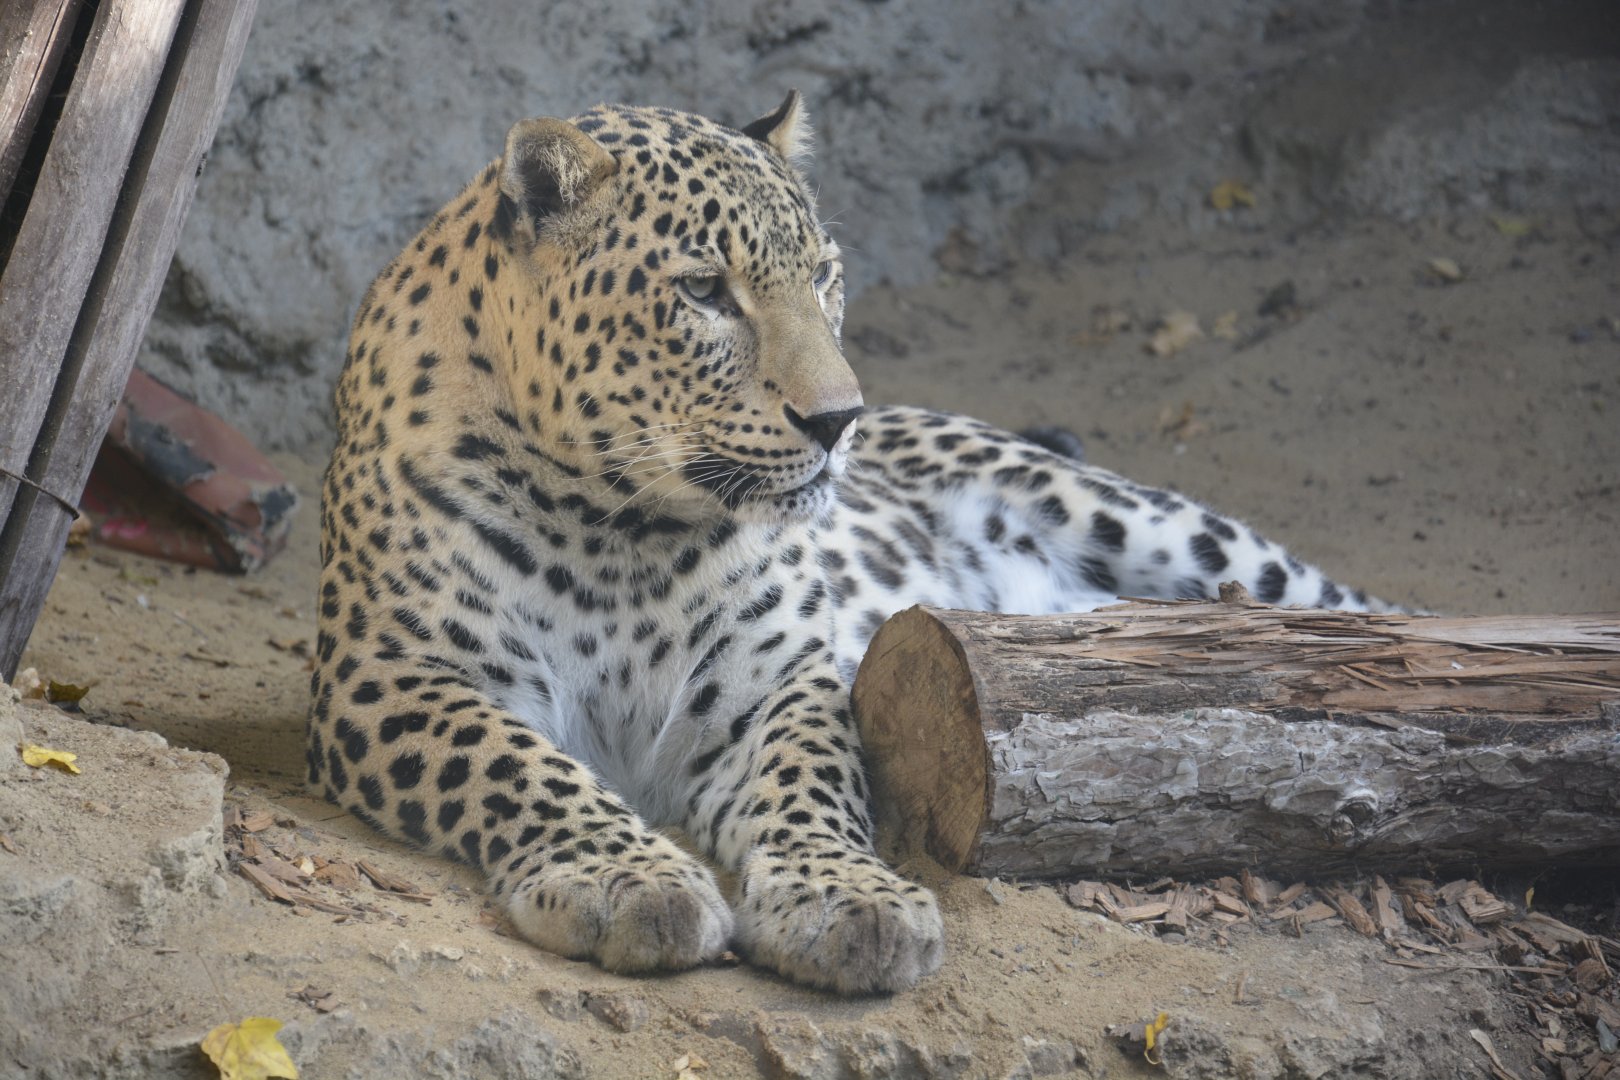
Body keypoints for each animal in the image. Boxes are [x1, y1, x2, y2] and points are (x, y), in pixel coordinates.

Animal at [309, 92, 1395, 995]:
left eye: (825, 275)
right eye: (703, 290)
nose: (838, 420)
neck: (620, 528)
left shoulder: (775, 682)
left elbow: (810, 781)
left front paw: (847, 897)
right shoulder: (393, 675)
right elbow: (516, 766)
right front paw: (623, 874)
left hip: (1151, 523)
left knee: (1357, 612)